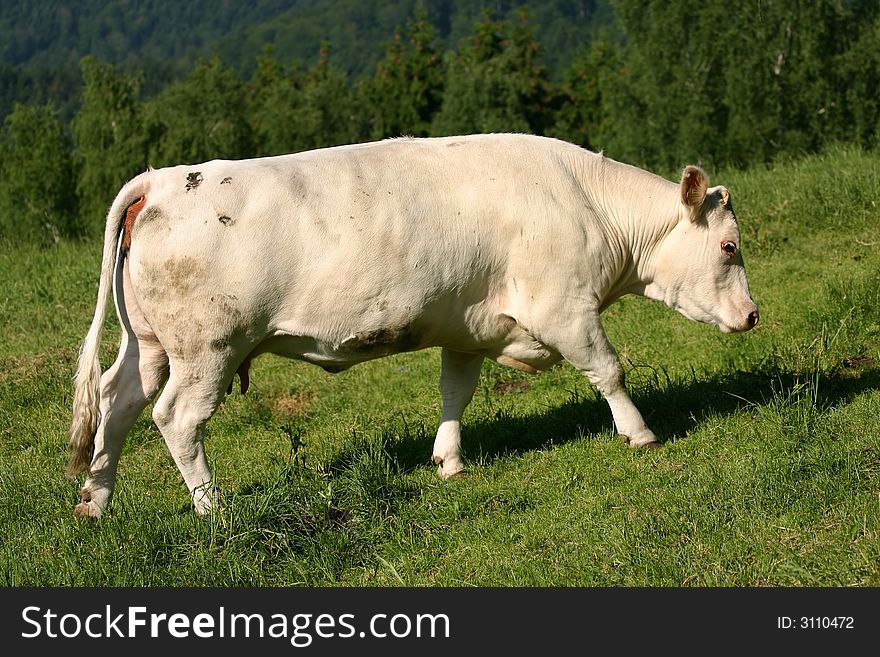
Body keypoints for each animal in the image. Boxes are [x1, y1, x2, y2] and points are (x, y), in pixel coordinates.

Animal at [67, 135, 756, 516]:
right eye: (729, 247)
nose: (752, 315)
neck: (586, 203)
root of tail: (159, 181)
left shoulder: (472, 326)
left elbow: (456, 393)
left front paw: (448, 462)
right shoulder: (563, 308)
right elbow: (609, 370)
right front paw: (641, 435)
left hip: (150, 343)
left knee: (116, 403)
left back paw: (95, 503)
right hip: (208, 347)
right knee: (177, 418)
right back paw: (212, 509)